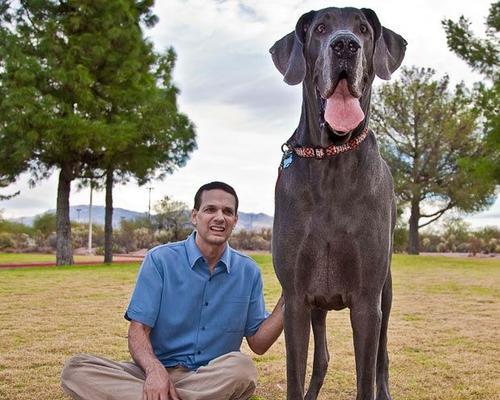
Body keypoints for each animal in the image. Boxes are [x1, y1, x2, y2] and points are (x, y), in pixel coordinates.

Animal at [270, 6, 406, 400]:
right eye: (320, 29)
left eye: (363, 29)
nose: (345, 45)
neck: (331, 157)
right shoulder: (296, 300)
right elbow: (296, 375)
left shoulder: (367, 303)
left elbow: (367, 376)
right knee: (323, 358)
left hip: (386, 292)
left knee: (382, 358)